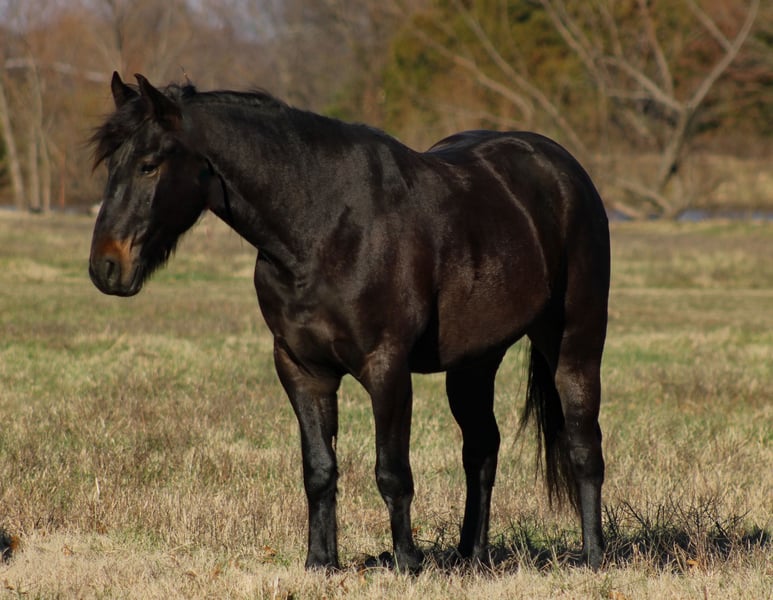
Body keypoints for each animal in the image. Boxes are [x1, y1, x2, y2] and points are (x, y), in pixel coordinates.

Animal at [89, 73, 610, 572]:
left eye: (149, 164)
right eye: (111, 165)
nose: (105, 267)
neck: (323, 228)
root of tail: (566, 170)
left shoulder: (386, 367)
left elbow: (393, 472)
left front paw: (407, 564)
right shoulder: (302, 369)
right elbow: (319, 469)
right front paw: (320, 561)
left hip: (574, 344)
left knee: (584, 447)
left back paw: (593, 557)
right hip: (474, 362)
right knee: (482, 449)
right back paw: (472, 558)